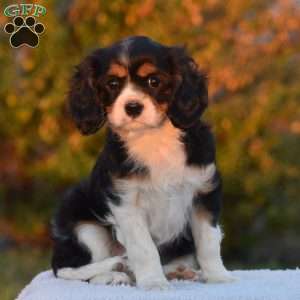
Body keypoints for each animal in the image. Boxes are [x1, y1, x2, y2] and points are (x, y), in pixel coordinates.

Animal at [51, 36, 234, 290]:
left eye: (153, 81)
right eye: (112, 84)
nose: (133, 107)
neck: (152, 138)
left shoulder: (204, 192)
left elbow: (208, 241)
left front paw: (218, 277)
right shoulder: (126, 203)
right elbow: (144, 249)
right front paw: (153, 283)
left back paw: (176, 270)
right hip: (82, 224)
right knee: (69, 269)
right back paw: (116, 272)